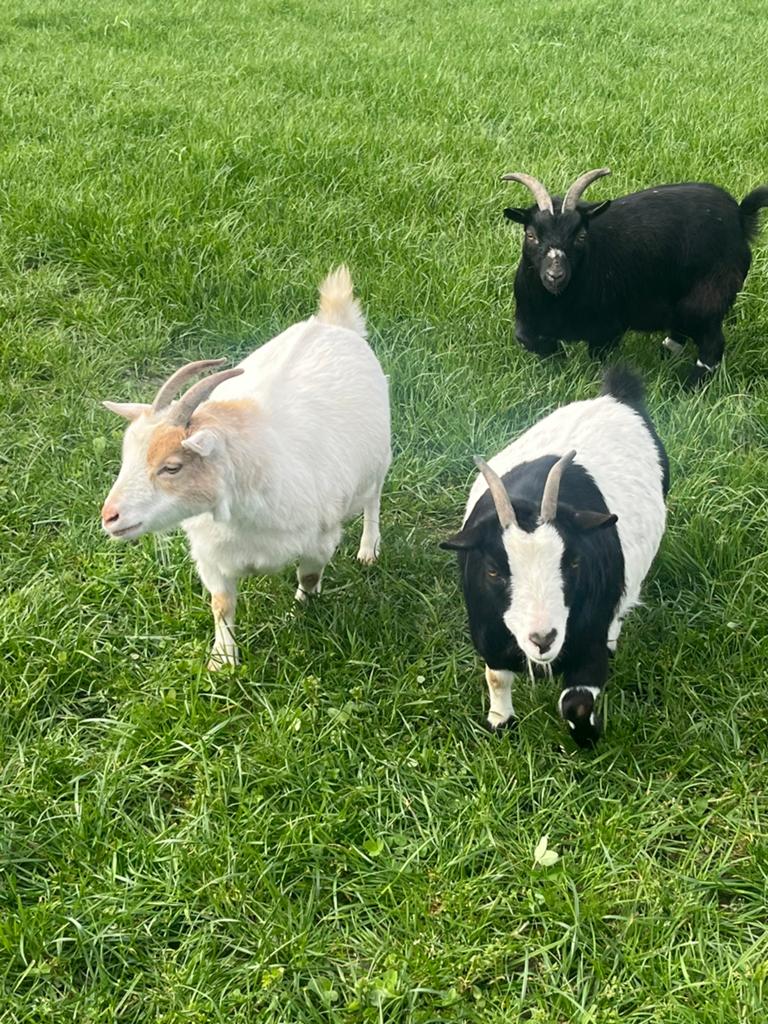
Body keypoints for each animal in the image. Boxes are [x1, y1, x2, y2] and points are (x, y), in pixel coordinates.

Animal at [100, 266, 391, 668]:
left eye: (172, 467)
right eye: (127, 456)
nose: (109, 516)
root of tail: (334, 322)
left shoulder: (320, 540)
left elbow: (309, 577)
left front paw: (302, 611)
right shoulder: (211, 557)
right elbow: (221, 605)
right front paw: (222, 661)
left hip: (378, 459)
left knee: (373, 498)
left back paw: (368, 549)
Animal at [441, 368, 668, 747]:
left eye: (573, 562)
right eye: (493, 571)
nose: (543, 639)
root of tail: (615, 397)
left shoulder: (587, 644)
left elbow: (575, 701)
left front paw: (588, 736)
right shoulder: (488, 632)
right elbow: (496, 677)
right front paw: (501, 722)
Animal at [503, 168, 768, 387]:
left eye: (580, 236)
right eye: (531, 235)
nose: (555, 275)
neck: (557, 301)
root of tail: (739, 217)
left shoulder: (608, 326)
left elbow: (598, 357)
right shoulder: (527, 317)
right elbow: (527, 338)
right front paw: (557, 355)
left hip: (707, 296)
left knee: (712, 345)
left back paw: (685, 388)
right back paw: (665, 356)